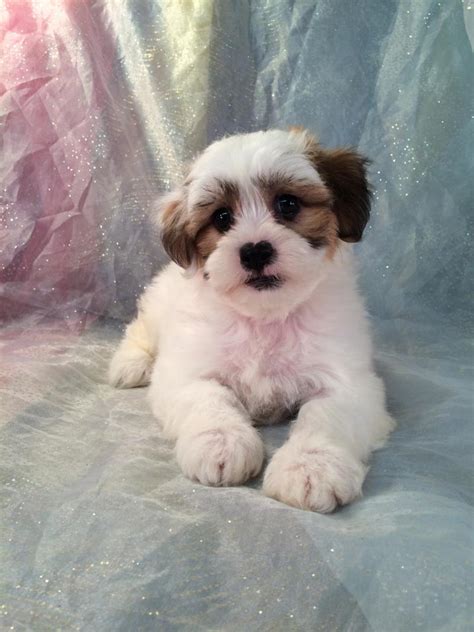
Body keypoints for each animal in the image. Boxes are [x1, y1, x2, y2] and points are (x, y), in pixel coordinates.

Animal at [109, 128, 394, 512]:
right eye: (221, 218)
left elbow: (327, 415)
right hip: (158, 305)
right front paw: (221, 441)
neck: (265, 317)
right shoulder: (186, 370)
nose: (255, 250)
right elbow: (209, 397)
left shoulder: (350, 382)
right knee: (139, 329)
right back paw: (130, 363)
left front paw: (310, 466)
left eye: (288, 204)